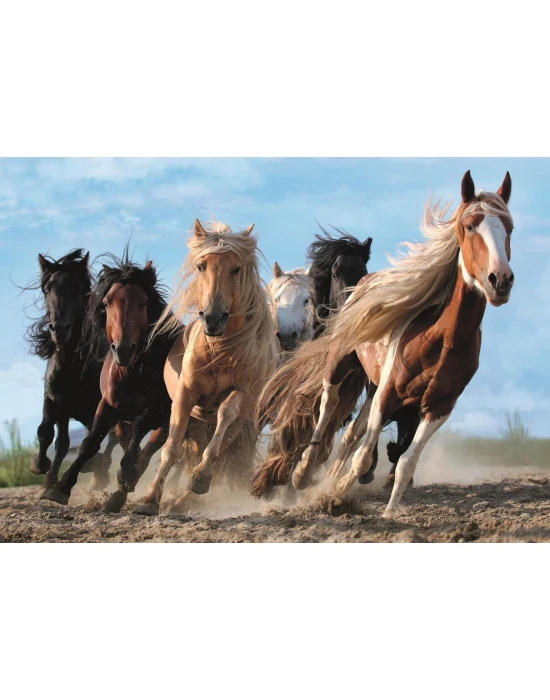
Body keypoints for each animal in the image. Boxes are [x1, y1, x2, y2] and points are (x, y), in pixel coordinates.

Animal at [24, 249, 117, 492]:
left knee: (111, 438)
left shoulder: (98, 406)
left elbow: (94, 439)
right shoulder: (55, 400)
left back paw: (99, 473)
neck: (72, 367)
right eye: (47, 290)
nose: (59, 329)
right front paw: (42, 471)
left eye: (78, 290)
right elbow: (50, 434)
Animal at [40, 253, 178, 511]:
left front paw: (125, 475)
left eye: (143, 303)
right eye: (106, 303)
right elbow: (89, 443)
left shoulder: (157, 411)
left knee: (149, 452)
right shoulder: (106, 405)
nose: (122, 349)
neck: (132, 372)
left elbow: (138, 440)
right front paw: (60, 488)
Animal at [134, 219, 278, 516]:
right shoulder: (185, 395)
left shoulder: (241, 394)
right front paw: (149, 499)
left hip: (238, 427)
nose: (213, 318)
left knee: (220, 453)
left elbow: (224, 417)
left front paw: (200, 477)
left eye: (236, 268)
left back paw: (185, 498)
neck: (219, 350)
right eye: (201, 266)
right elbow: (171, 449)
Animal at [252, 171, 514, 518]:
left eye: (509, 227)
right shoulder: (387, 392)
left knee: (352, 433)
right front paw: (332, 492)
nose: (500, 280)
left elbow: (405, 462)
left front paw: (388, 511)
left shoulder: (439, 407)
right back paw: (303, 471)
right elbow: (362, 455)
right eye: (470, 226)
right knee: (327, 405)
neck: (441, 339)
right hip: (341, 364)